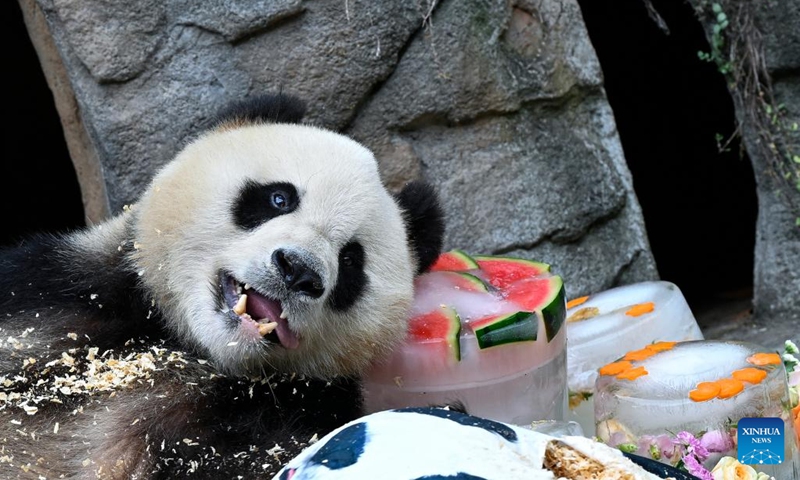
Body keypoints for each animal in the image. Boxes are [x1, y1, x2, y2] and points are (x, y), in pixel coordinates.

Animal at [0, 94, 444, 479]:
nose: (298, 271)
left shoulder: (291, 412)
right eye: (279, 198)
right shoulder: (56, 293)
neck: (189, 348)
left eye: (352, 260)